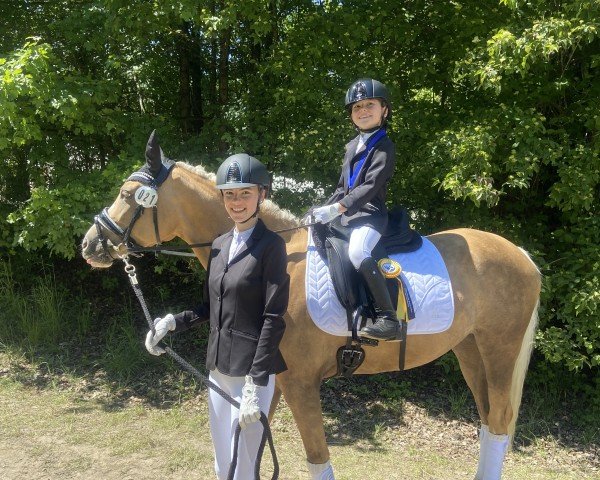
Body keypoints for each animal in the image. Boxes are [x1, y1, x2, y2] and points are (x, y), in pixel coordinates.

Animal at [81, 136, 544, 480]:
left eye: (128, 194)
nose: (90, 244)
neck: (273, 252)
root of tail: (520, 254)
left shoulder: (300, 383)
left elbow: (316, 460)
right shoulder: (267, 379)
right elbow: (250, 449)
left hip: (499, 352)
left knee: (499, 423)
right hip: (470, 351)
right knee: (488, 422)